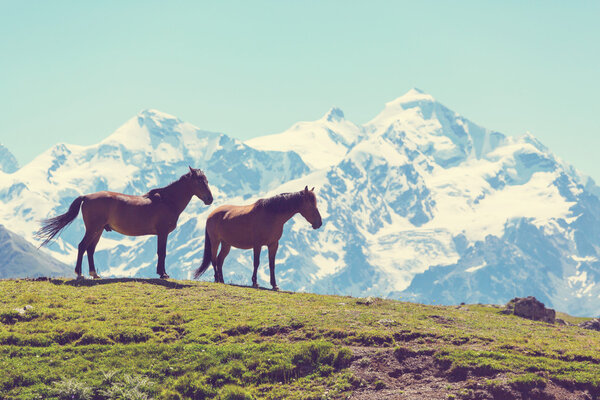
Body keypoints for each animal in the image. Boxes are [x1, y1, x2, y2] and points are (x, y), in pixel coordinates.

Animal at [35, 167, 213, 280]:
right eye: (199, 181)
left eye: (206, 180)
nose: (210, 199)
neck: (167, 201)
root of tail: (86, 196)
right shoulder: (162, 233)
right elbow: (161, 253)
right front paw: (163, 274)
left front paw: (162, 273)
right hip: (93, 229)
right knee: (82, 246)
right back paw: (80, 274)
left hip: (98, 230)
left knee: (90, 249)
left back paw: (95, 274)